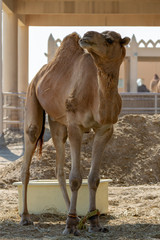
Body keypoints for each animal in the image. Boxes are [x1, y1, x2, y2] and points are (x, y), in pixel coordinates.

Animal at [20, 30, 130, 234]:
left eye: (109, 39)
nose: (87, 35)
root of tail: (38, 76)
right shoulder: (75, 126)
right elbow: (76, 179)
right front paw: (70, 226)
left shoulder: (105, 129)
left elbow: (93, 178)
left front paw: (94, 222)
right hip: (32, 98)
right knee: (30, 145)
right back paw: (25, 217)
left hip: (57, 122)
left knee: (59, 170)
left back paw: (78, 216)